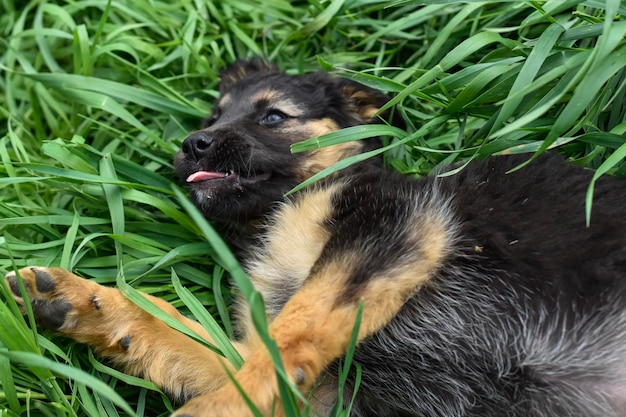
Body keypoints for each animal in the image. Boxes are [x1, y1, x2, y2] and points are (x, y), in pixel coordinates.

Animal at [4, 59, 624, 416]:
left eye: (273, 117)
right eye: (213, 116)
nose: (192, 144)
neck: (280, 213)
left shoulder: (388, 228)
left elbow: (288, 336)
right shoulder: (319, 386)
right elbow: (200, 343)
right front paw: (92, 305)